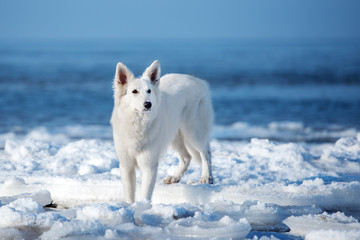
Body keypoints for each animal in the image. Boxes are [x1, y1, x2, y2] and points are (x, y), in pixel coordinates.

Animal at [109, 60, 214, 202]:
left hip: (193, 134)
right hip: (174, 137)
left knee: (206, 153)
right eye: (134, 91)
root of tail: (199, 81)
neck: (138, 124)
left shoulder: (149, 166)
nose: (148, 104)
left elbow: (145, 194)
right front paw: (131, 205)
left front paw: (143, 206)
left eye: (149, 91)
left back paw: (206, 177)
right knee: (187, 157)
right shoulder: (126, 166)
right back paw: (175, 178)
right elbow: (130, 195)